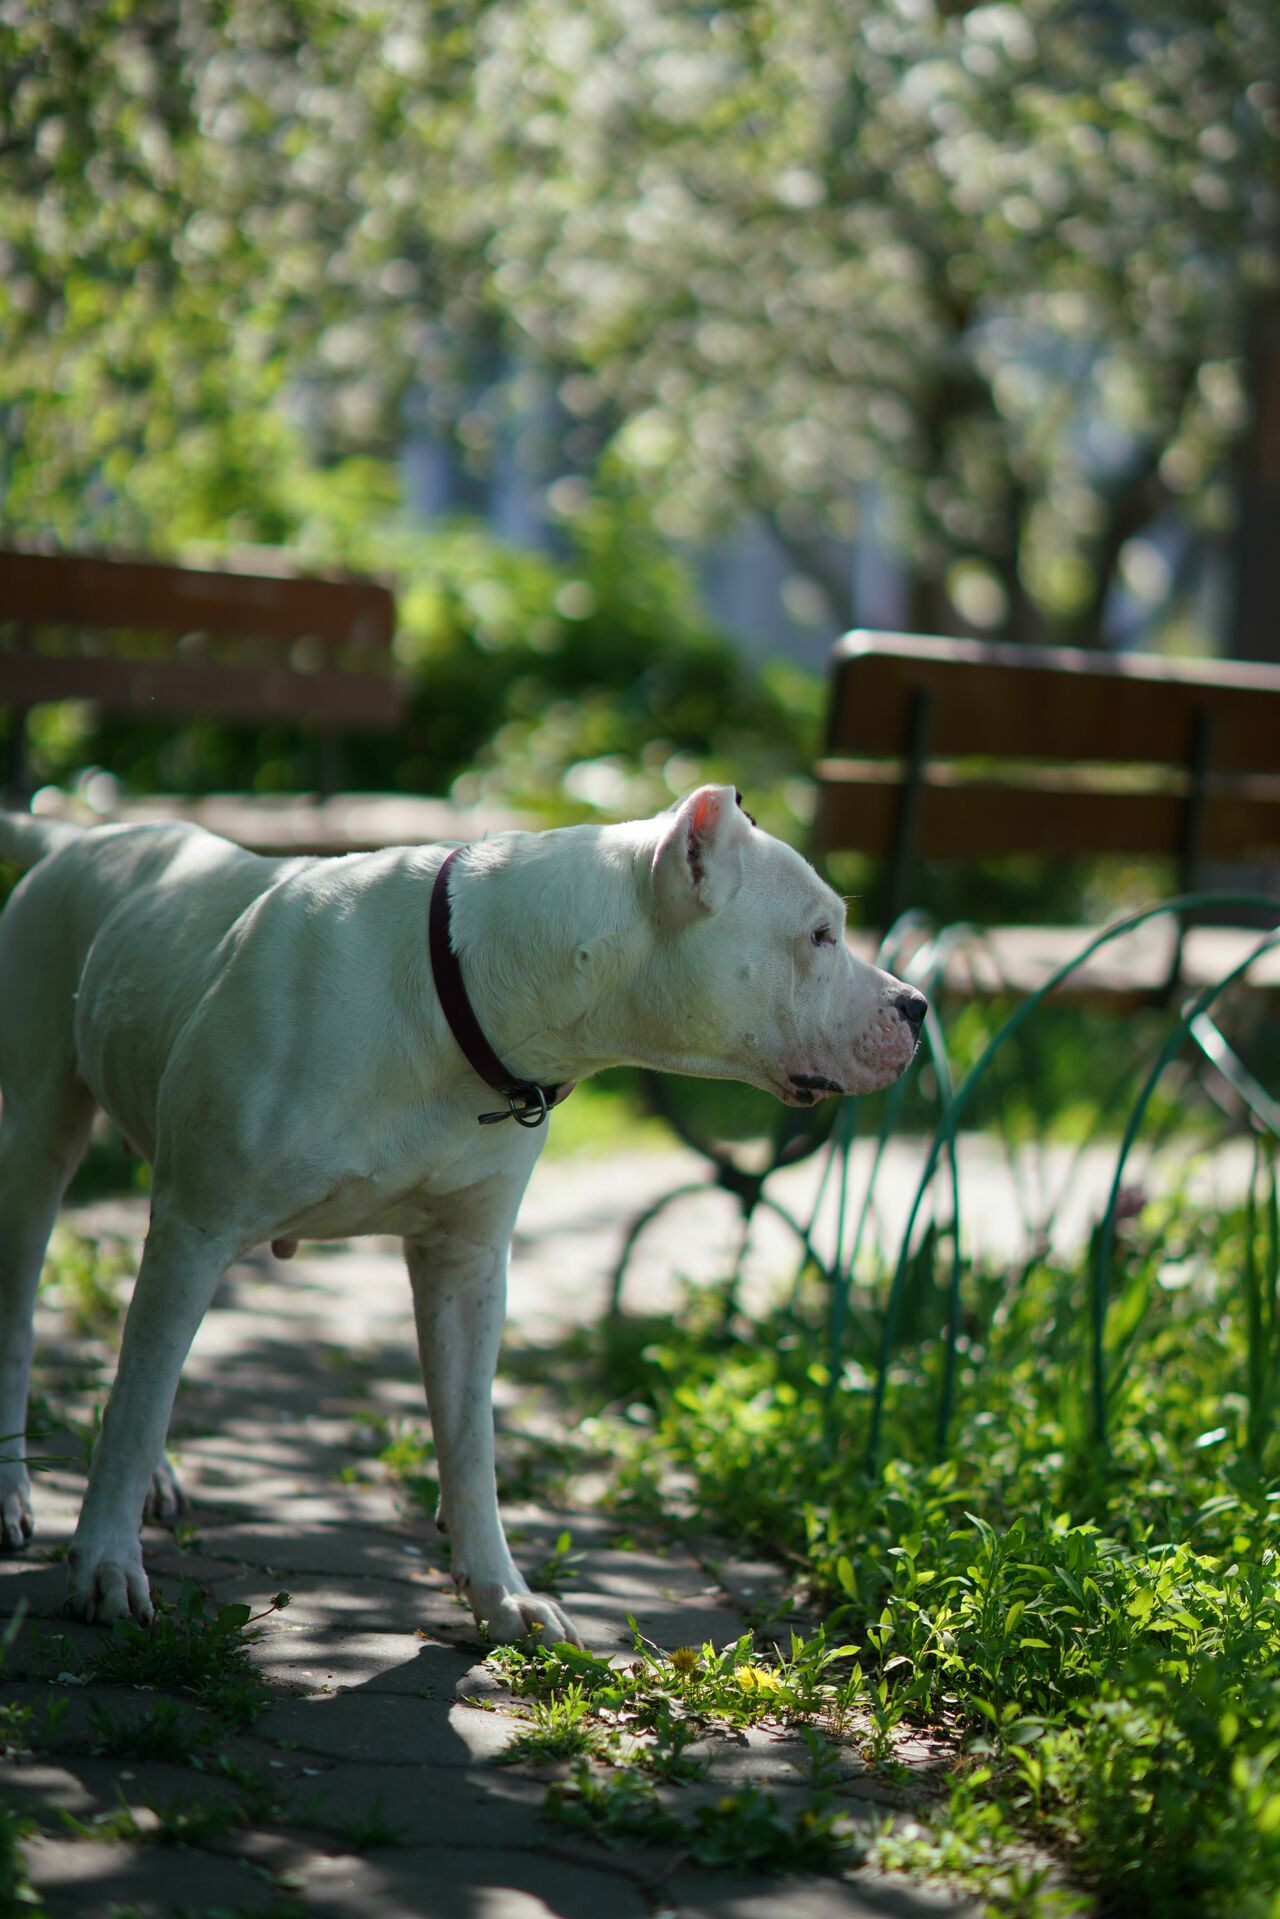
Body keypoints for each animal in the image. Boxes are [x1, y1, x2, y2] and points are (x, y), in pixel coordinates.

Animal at [0, 786, 924, 1642]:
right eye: (820, 934)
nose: (916, 1006)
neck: (467, 988)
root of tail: (79, 838)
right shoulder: (198, 1226)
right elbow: (134, 1408)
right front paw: (106, 1564)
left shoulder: (466, 1266)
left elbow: (470, 1439)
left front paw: (501, 1591)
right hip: (36, 1144)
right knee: (35, 1322)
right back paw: (15, 1490)